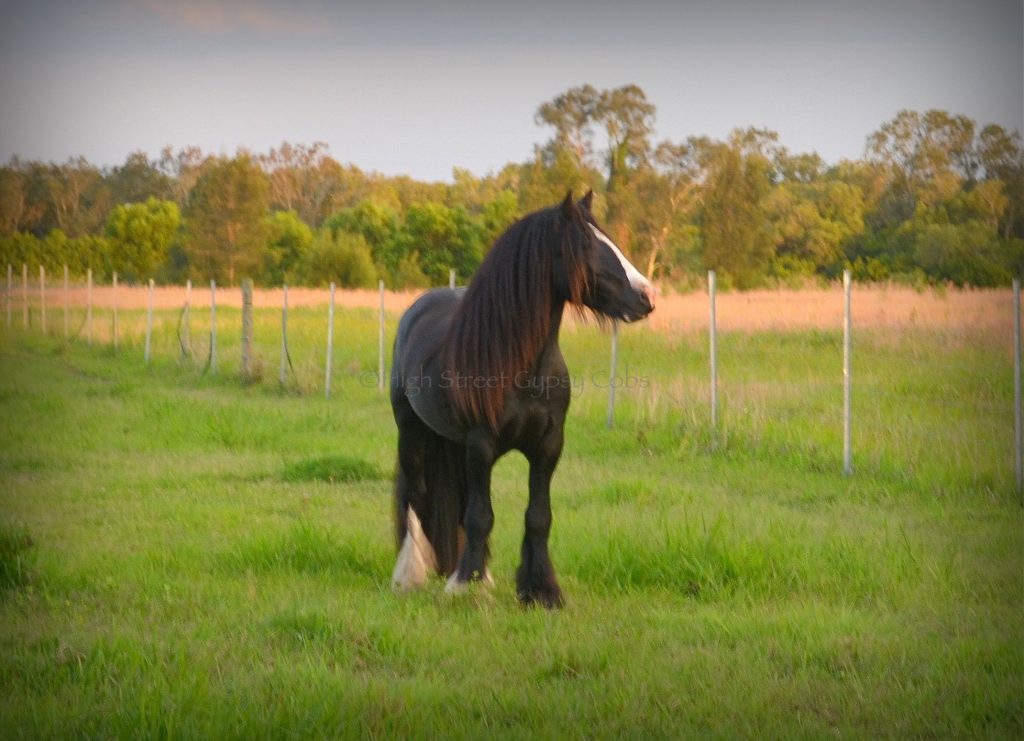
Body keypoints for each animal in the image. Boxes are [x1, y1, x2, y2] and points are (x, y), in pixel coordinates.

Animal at [387, 191, 651, 605]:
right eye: (585, 245)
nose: (647, 296)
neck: (521, 365)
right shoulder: (481, 445)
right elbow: (481, 516)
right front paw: (466, 587)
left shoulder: (548, 447)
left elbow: (537, 516)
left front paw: (540, 590)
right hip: (411, 432)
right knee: (415, 496)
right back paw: (410, 574)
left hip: (453, 445)